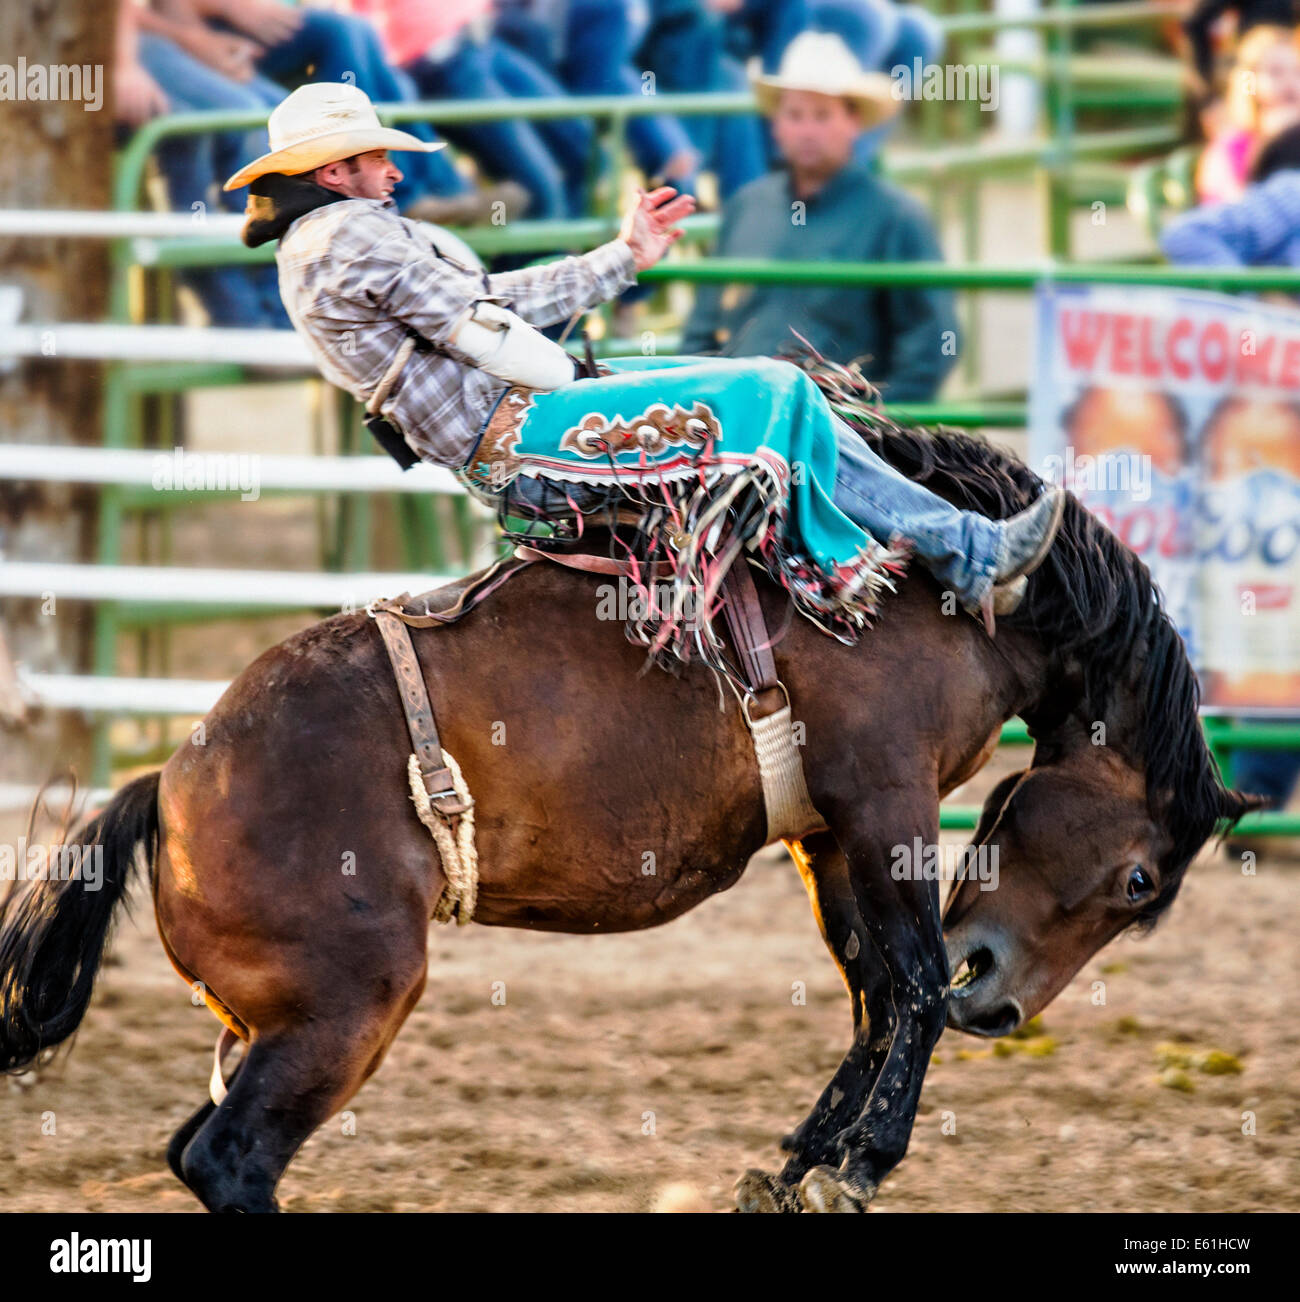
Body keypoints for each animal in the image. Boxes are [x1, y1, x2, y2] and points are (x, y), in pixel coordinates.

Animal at [0, 416, 1257, 1213]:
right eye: (1139, 880)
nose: (1001, 1006)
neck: (937, 596)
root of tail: (168, 789)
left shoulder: (822, 834)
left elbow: (872, 993)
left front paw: (795, 1168)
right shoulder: (880, 802)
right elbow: (907, 986)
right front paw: (857, 1168)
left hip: (274, 1023)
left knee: (197, 1152)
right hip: (344, 1009)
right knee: (232, 1161)